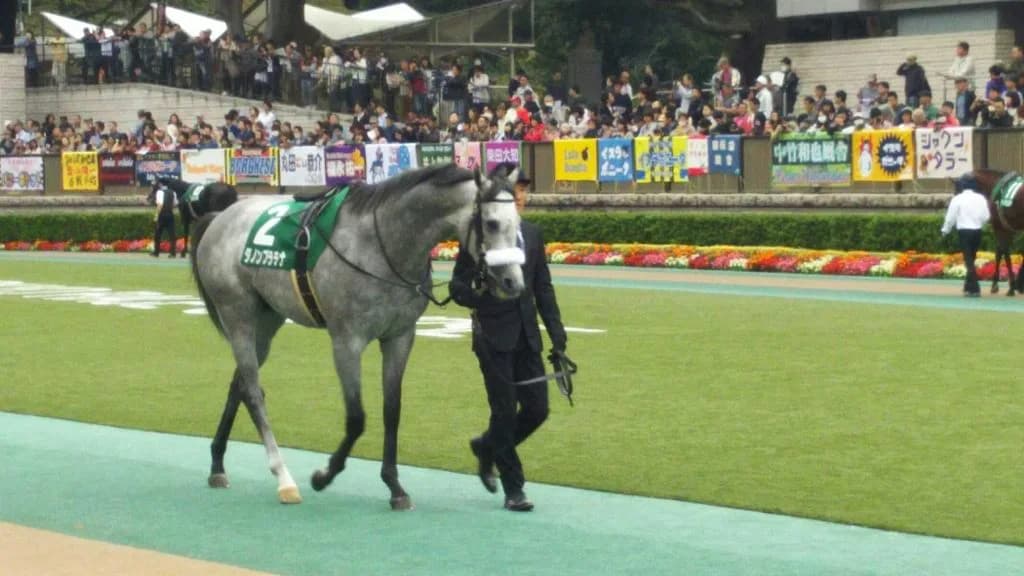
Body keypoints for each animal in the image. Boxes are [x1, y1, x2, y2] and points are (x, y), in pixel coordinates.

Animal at [189, 163, 526, 508]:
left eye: (517, 223)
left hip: (267, 320)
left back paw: (217, 464)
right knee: (254, 393)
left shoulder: (400, 336)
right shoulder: (346, 341)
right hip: (238, 315)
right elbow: (356, 417)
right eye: (491, 223)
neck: (382, 245)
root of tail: (220, 217)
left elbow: (392, 410)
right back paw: (283, 477)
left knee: (239, 385)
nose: (513, 282)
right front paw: (324, 475)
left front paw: (394, 485)